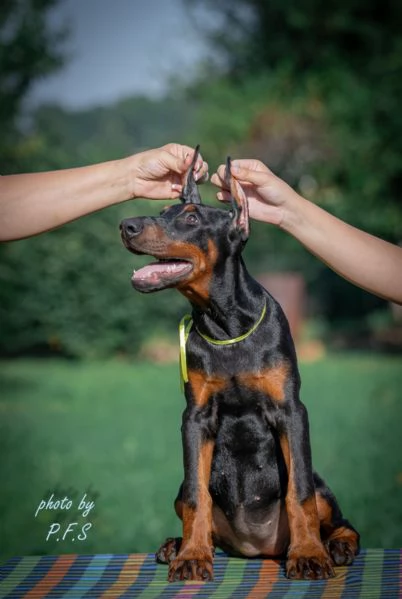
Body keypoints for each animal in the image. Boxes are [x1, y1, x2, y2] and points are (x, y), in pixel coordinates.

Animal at [119, 148, 358, 584]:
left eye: (191, 218)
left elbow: (299, 493)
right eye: (162, 212)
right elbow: (197, 497)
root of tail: (257, 547)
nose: (126, 225)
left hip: (323, 489)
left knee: (335, 517)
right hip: (183, 489)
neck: (226, 325)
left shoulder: (291, 411)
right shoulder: (195, 418)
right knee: (191, 500)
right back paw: (177, 545)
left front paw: (309, 555)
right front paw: (192, 557)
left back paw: (335, 546)